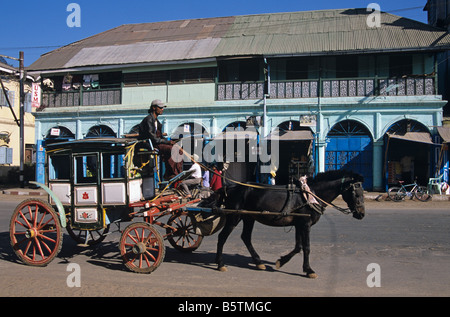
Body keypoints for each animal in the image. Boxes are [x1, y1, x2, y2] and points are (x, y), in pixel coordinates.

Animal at [213, 169, 364, 278]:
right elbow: (307, 247)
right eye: (357, 194)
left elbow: (298, 247)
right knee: (222, 237)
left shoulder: (299, 224)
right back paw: (220, 264)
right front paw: (309, 270)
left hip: (249, 217)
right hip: (234, 216)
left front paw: (281, 262)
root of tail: (231, 187)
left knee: (245, 237)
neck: (311, 194)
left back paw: (258, 262)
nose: (361, 214)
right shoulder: (305, 224)